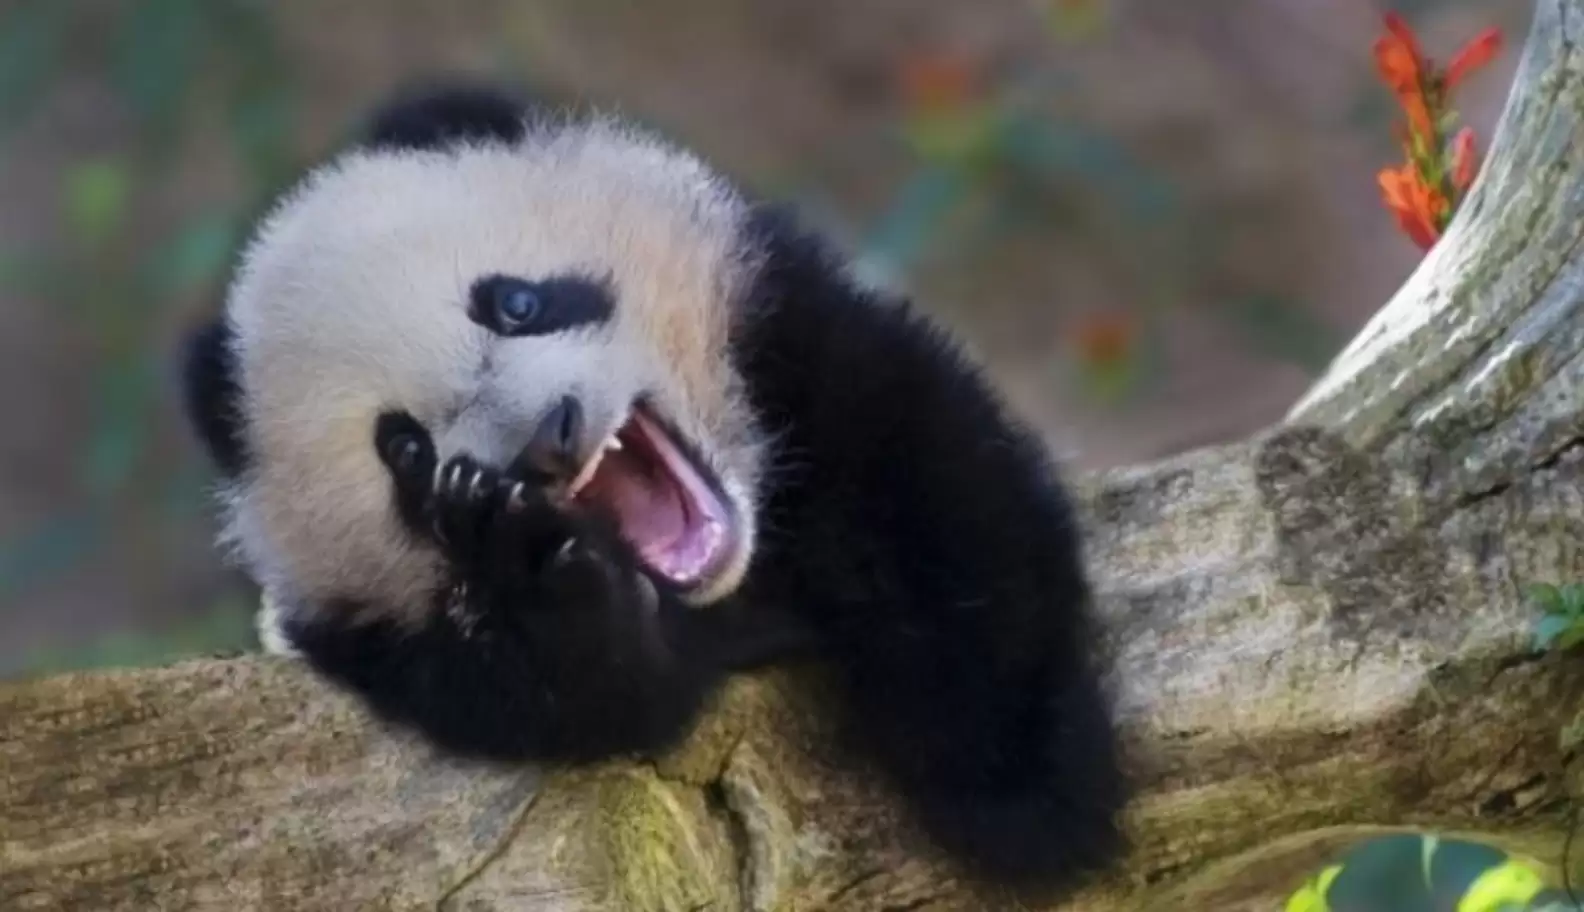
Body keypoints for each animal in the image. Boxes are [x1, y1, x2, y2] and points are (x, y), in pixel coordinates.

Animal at [177, 82, 1128, 898]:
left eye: (515, 303)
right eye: (404, 448)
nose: (545, 441)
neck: (738, 580)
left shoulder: (787, 337)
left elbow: (932, 493)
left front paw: (1024, 790)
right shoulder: (374, 639)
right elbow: (584, 702)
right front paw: (536, 586)